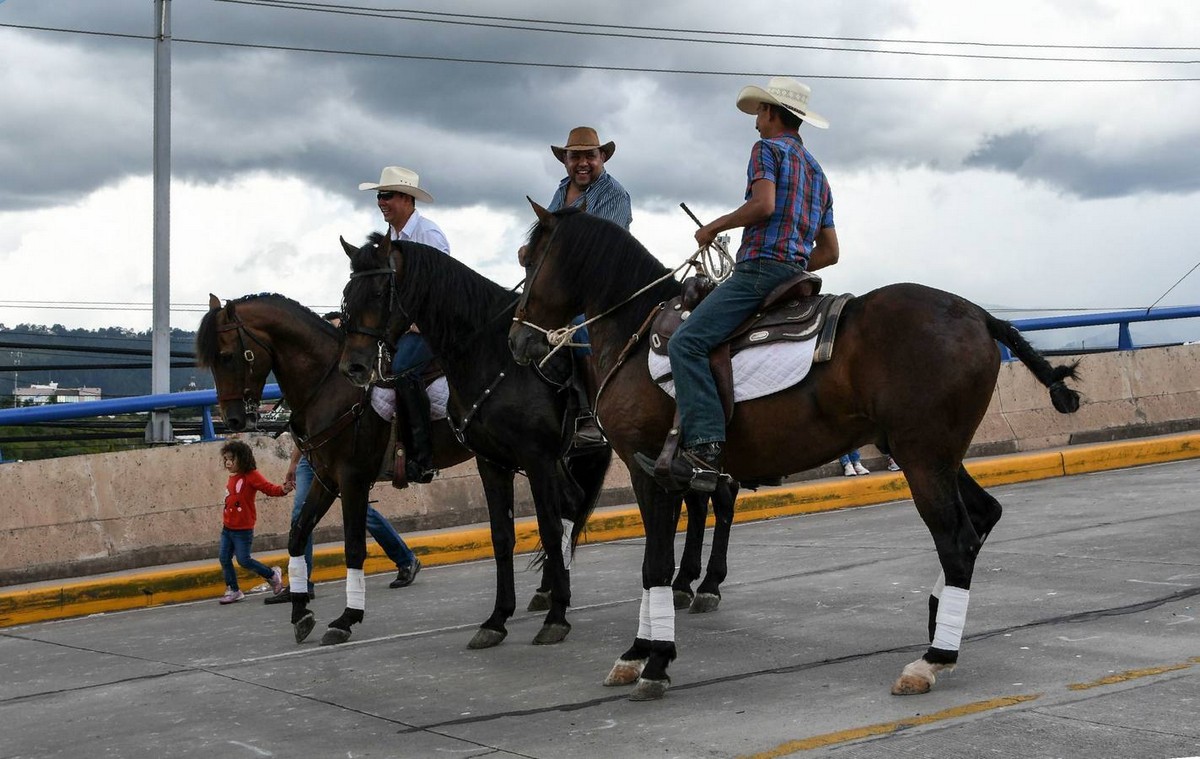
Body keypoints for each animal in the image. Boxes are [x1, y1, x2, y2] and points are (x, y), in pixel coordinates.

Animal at [194, 293, 470, 643]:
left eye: (227, 357)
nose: (232, 420)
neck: (329, 386)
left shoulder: (352, 478)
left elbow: (353, 547)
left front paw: (347, 618)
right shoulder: (326, 479)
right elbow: (298, 535)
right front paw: (300, 611)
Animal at [506, 202, 1080, 701]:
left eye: (528, 257)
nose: (517, 341)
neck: (635, 333)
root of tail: (981, 315)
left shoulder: (649, 470)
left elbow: (655, 567)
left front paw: (652, 658)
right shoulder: (659, 474)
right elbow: (657, 565)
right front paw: (640, 652)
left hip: (923, 459)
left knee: (958, 539)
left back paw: (933, 659)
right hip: (938, 455)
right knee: (983, 517)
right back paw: (942, 624)